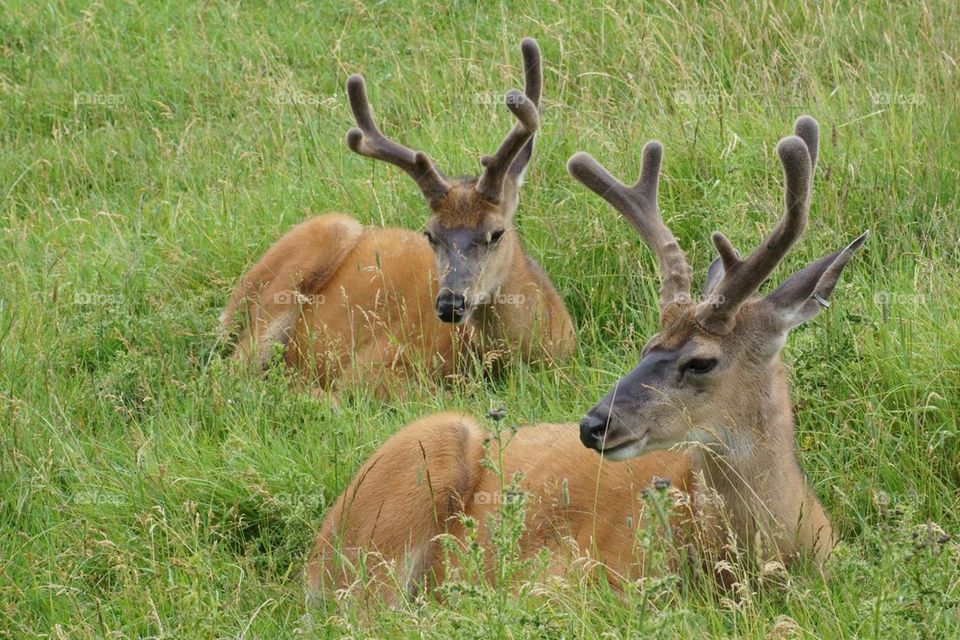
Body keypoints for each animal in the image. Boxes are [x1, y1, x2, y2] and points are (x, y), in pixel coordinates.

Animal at [221, 38, 572, 396]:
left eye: (496, 232)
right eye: (430, 234)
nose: (450, 305)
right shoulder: (375, 361)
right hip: (320, 243)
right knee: (228, 376)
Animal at [308, 116, 872, 604]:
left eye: (701, 361)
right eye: (646, 345)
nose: (593, 424)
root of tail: (317, 551)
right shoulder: (573, 575)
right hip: (405, 496)